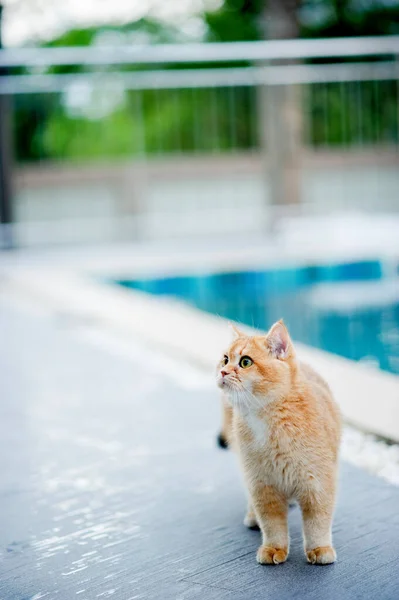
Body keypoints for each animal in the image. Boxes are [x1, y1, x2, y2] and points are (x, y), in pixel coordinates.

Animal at [217, 322, 342, 564]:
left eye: (245, 362)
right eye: (225, 359)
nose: (223, 371)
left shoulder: (318, 483)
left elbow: (317, 522)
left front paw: (320, 549)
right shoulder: (262, 485)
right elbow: (272, 525)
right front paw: (274, 549)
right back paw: (252, 516)